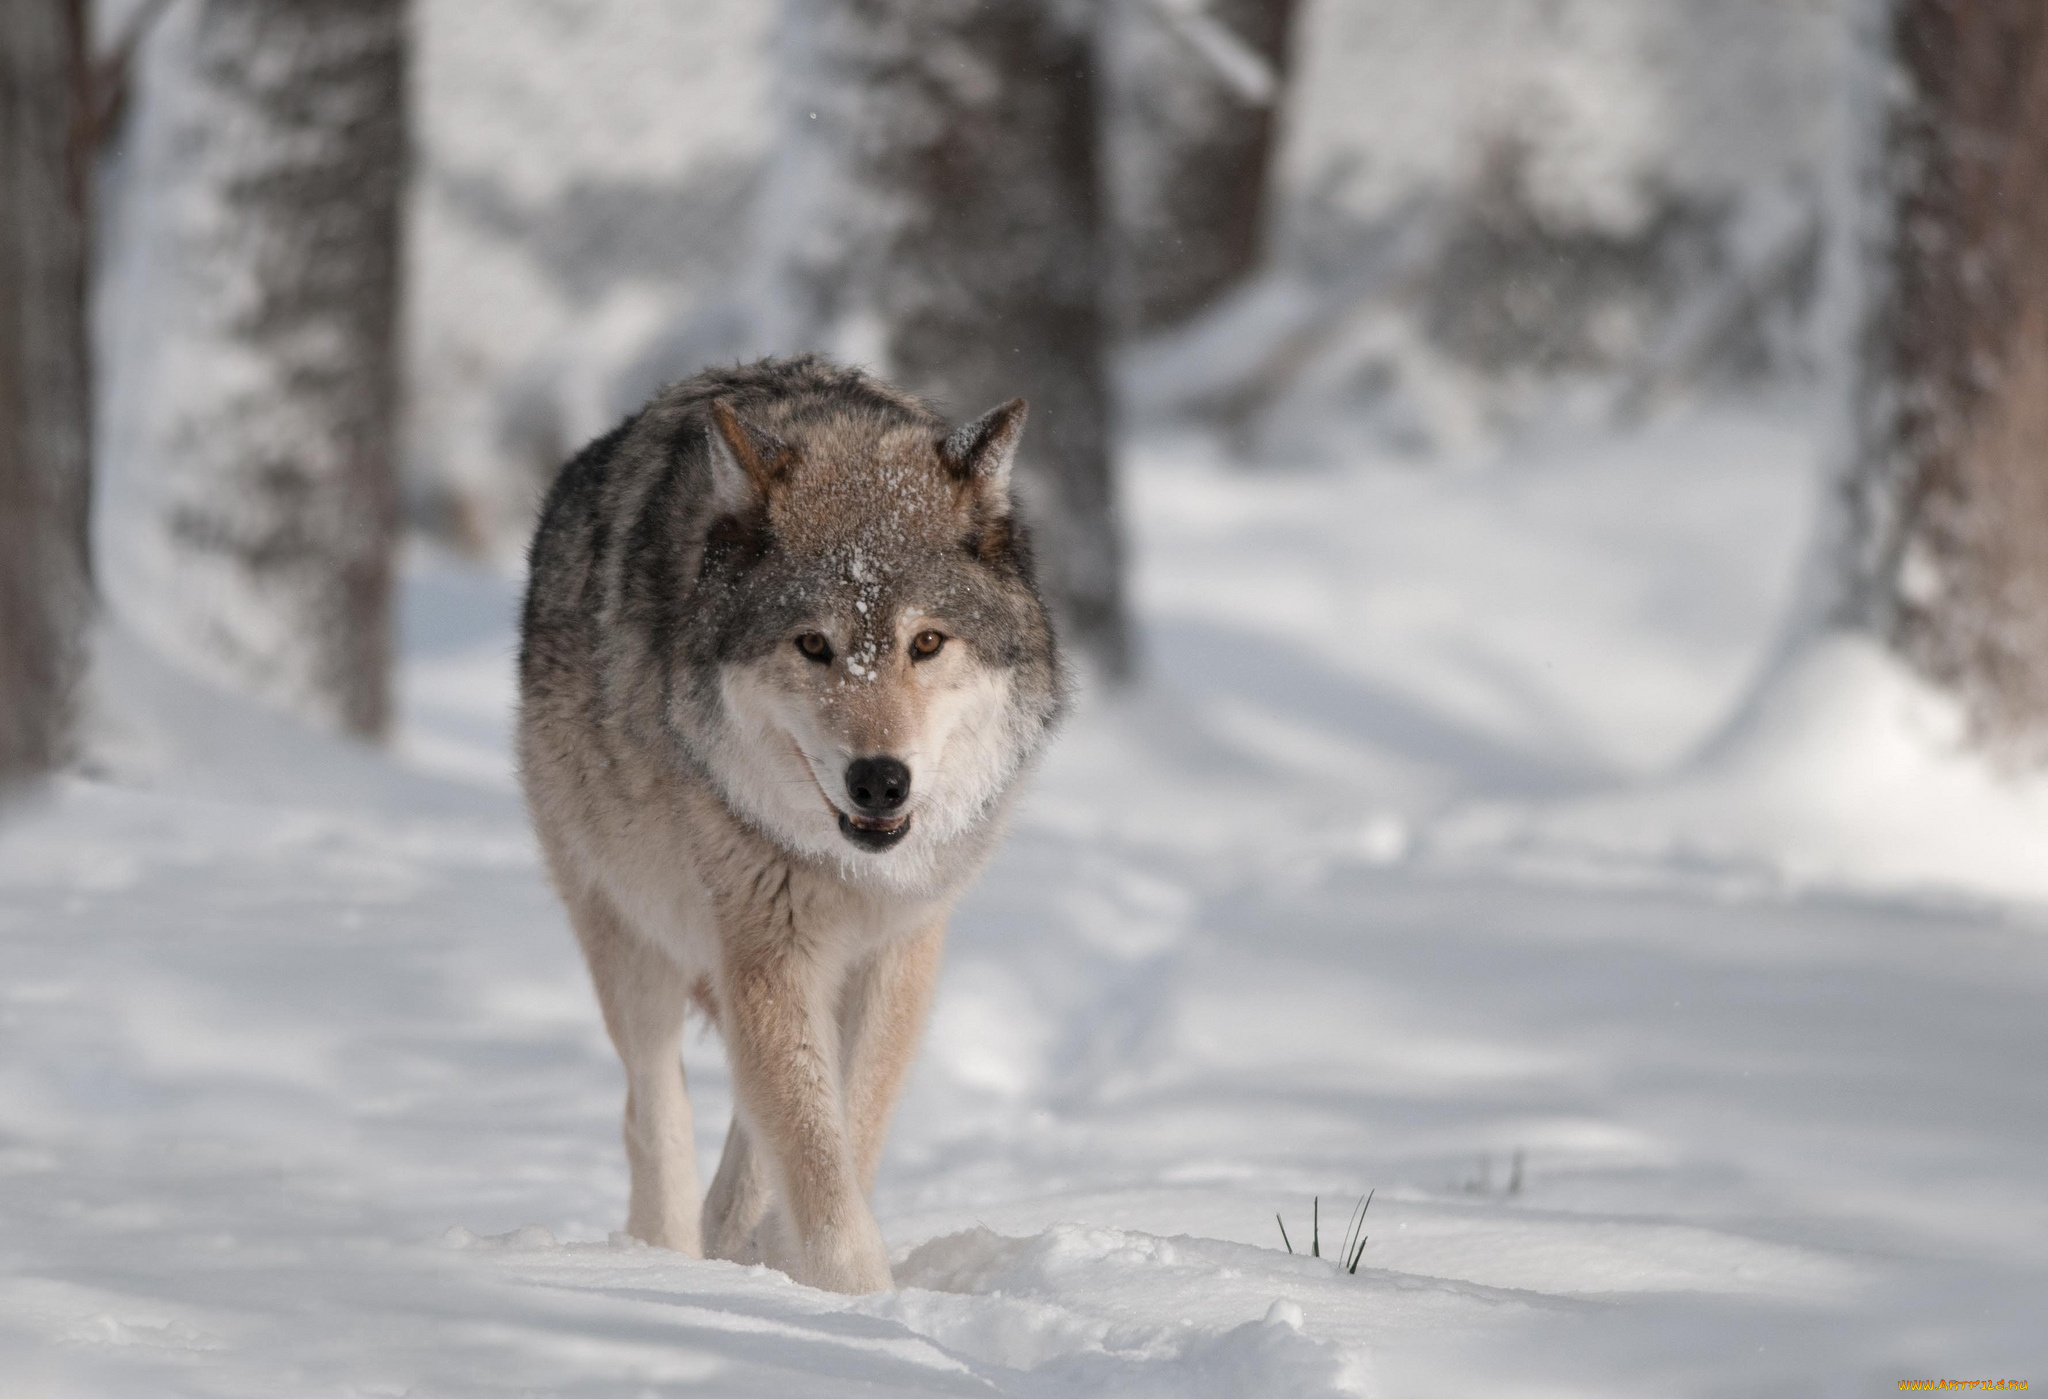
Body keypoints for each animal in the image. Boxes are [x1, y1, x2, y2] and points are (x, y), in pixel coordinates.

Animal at [512, 352, 1064, 1294]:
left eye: (927, 643)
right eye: (813, 645)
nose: (879, 780)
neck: (848, 867)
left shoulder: (897, 948)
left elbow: (846, 1124)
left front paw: (797, 1266)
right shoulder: (768, 948)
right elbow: (813, 1152)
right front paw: (856, 1300)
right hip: (629, 934)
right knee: (652, 1112)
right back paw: (663, 1263)